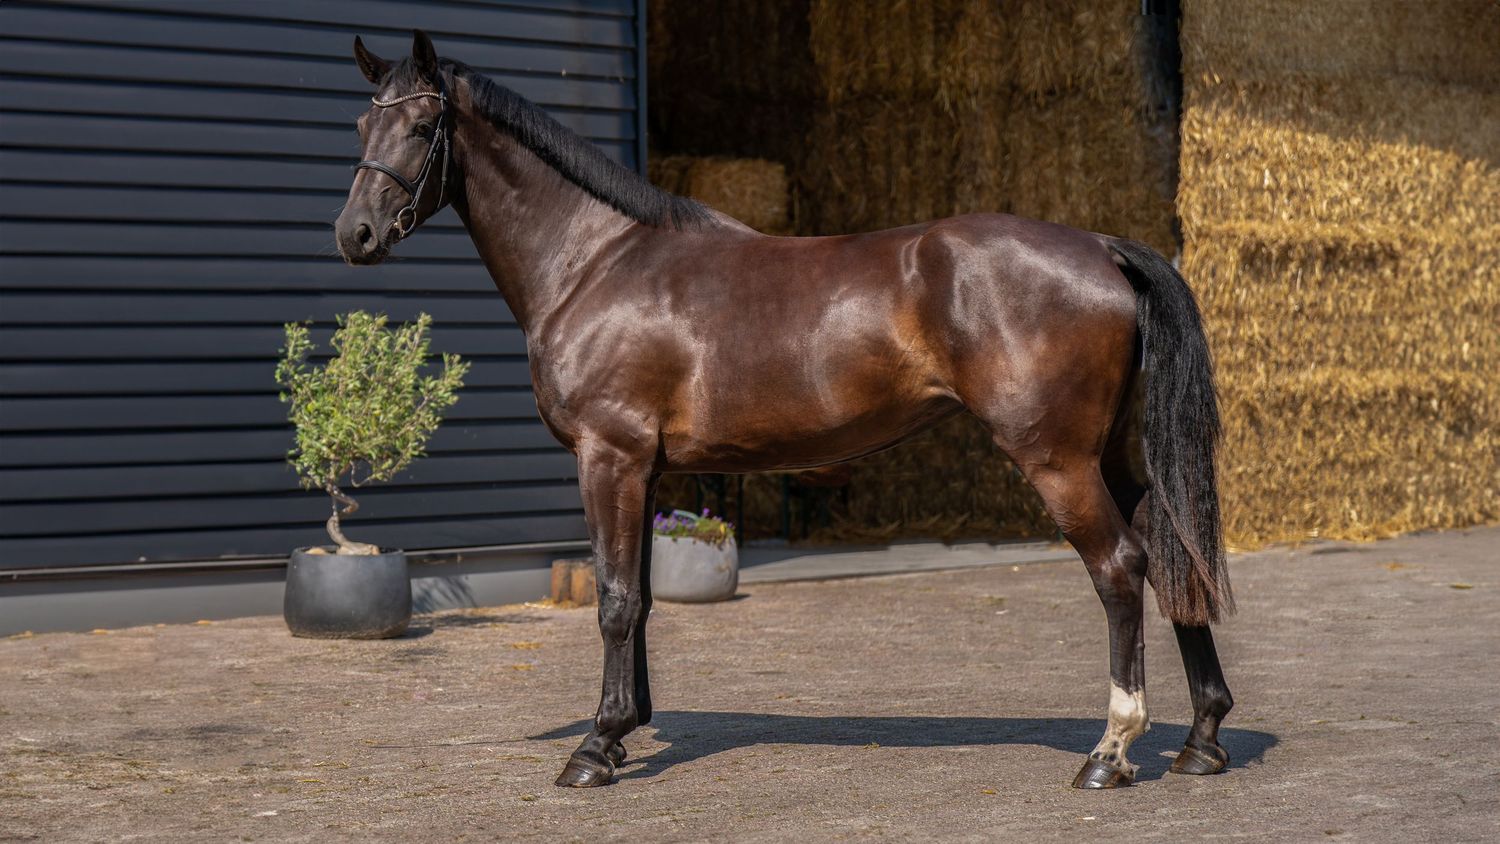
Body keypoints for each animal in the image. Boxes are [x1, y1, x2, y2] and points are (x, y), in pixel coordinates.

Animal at [335, 31, 1236, 790]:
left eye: (423, 126)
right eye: (362, 123)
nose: (357, 235)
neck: (595, 261)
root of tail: (1103, 248)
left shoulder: (609, 457)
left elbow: (615, 599)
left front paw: (594, 748)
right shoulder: (649, 472)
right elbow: (644, 598)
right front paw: (625, 729)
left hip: (1058, 460)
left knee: (1120, 568)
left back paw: (1111, 751)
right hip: (1116, 458)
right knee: (1172, 559)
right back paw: (1201, 740)